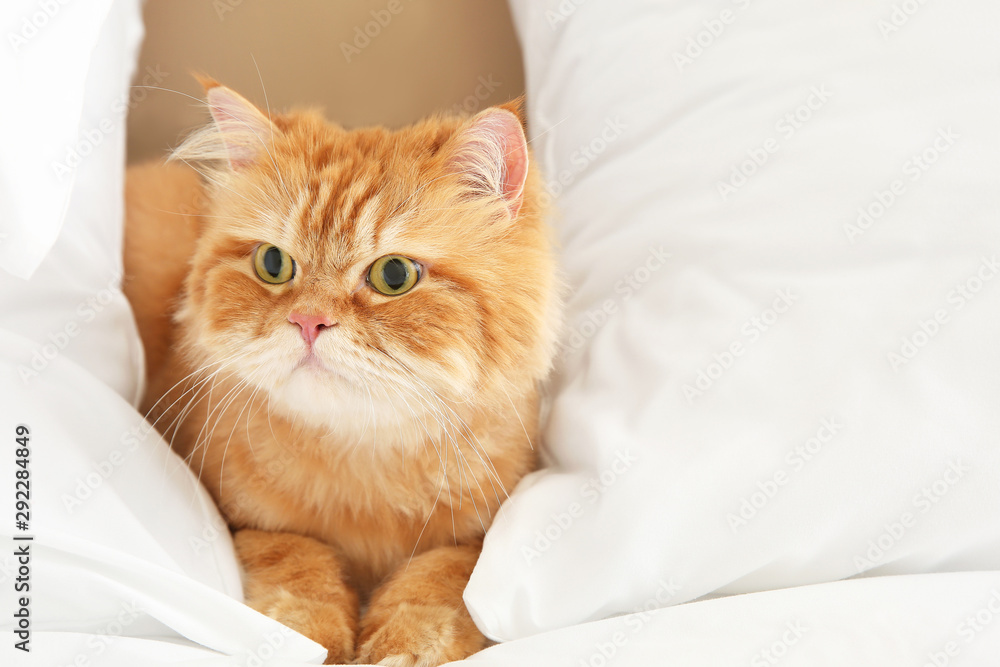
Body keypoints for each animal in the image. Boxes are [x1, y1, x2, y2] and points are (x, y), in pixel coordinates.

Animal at [121, 79, 560, 667]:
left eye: (394, 275)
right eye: (273, 264)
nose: (308, 320)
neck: (363, 461)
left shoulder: (478, 532)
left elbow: (441, 578)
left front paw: (400, 645)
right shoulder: (241, 520)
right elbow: (300, 560)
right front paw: (316, 641)